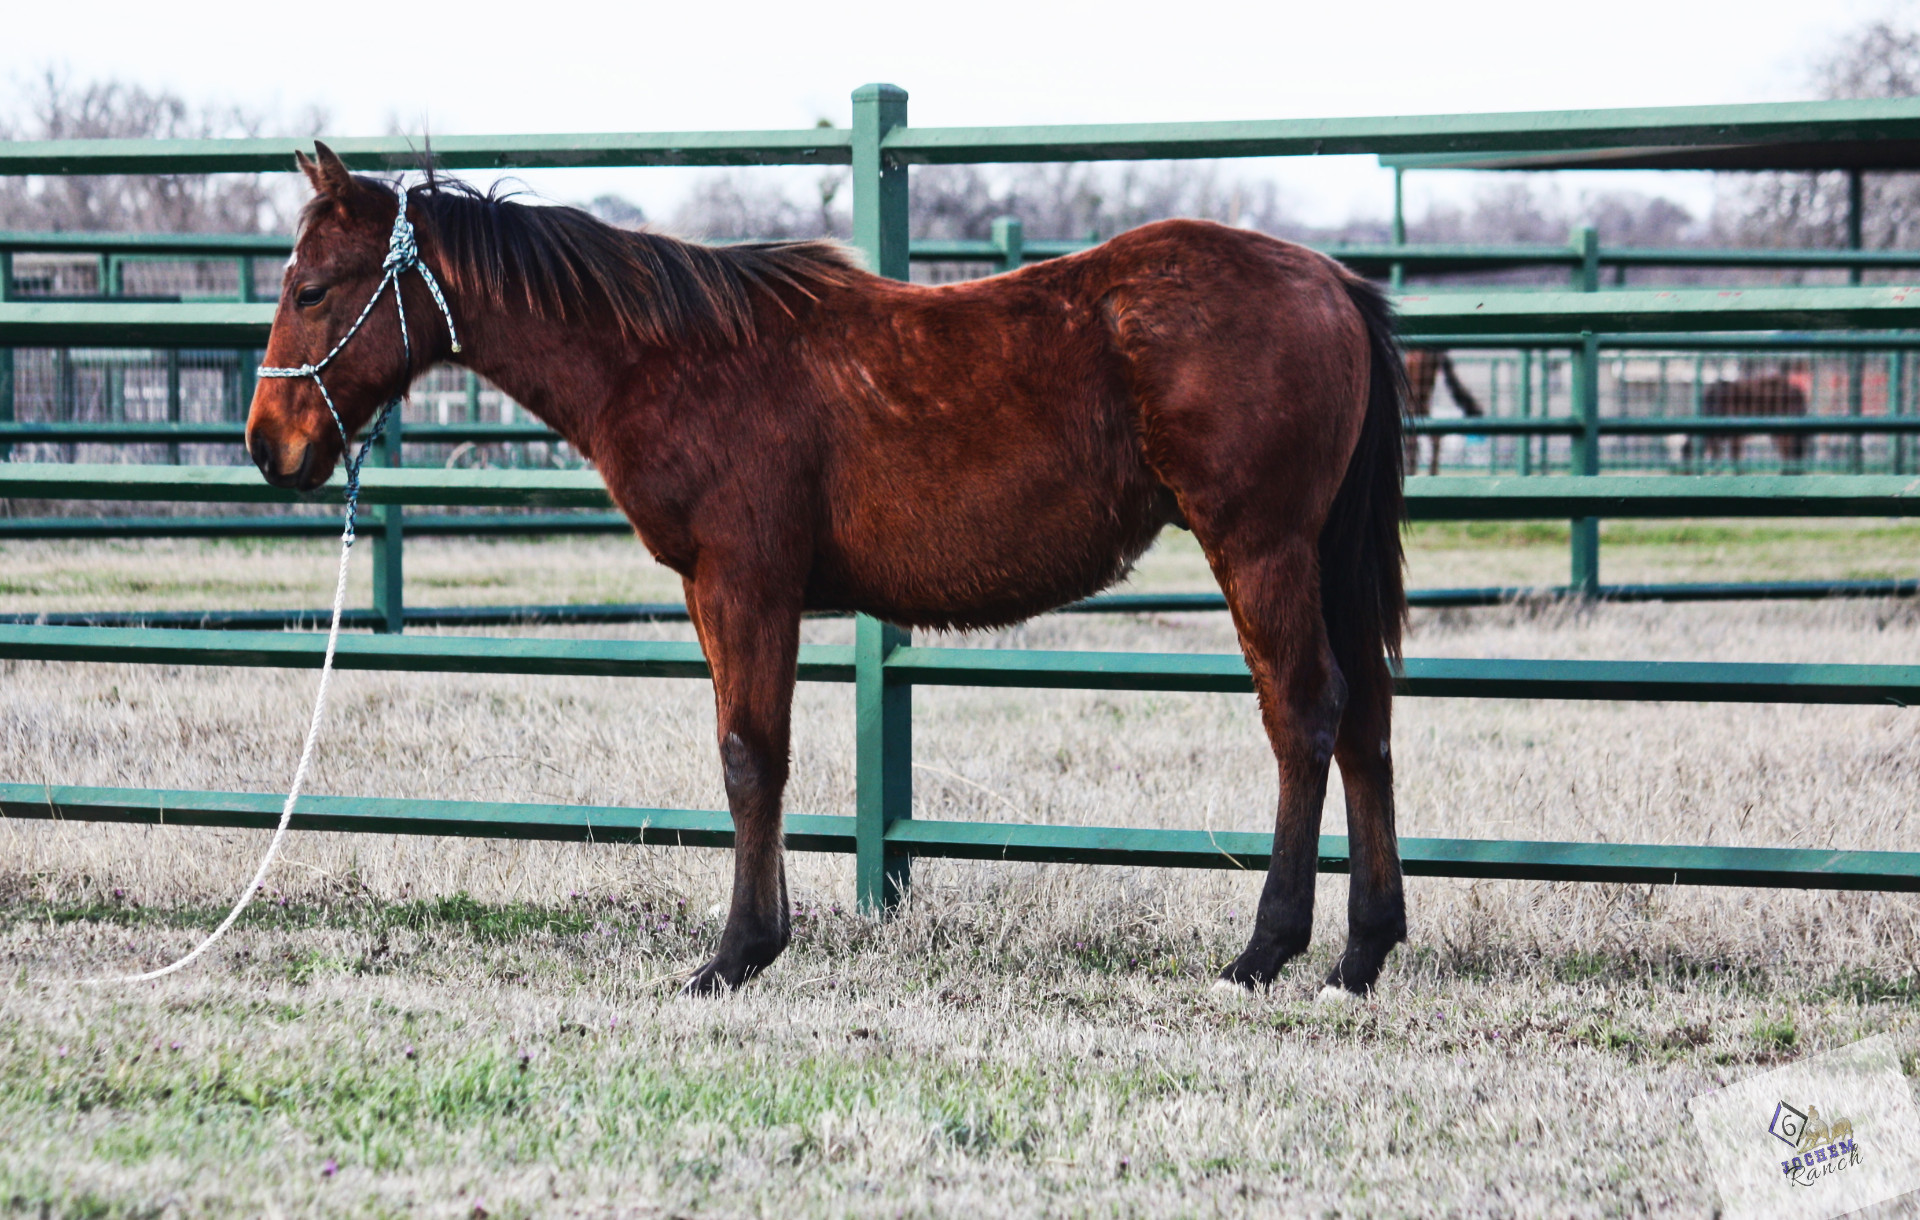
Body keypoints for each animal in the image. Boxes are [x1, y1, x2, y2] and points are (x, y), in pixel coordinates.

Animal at [246, 144, 1410, 998]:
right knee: (1365, 721)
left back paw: (1266, 950)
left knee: (1304, 714)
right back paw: (1362, 953)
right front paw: (757, 940)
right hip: (1319, 560)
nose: (269, 447)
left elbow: (750, 757)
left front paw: (734, 955)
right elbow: (750, 755)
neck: (673, 357)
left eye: (312, 287)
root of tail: (1333, 280)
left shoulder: (746, 582)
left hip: (1259, 548)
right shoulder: (718, 592)